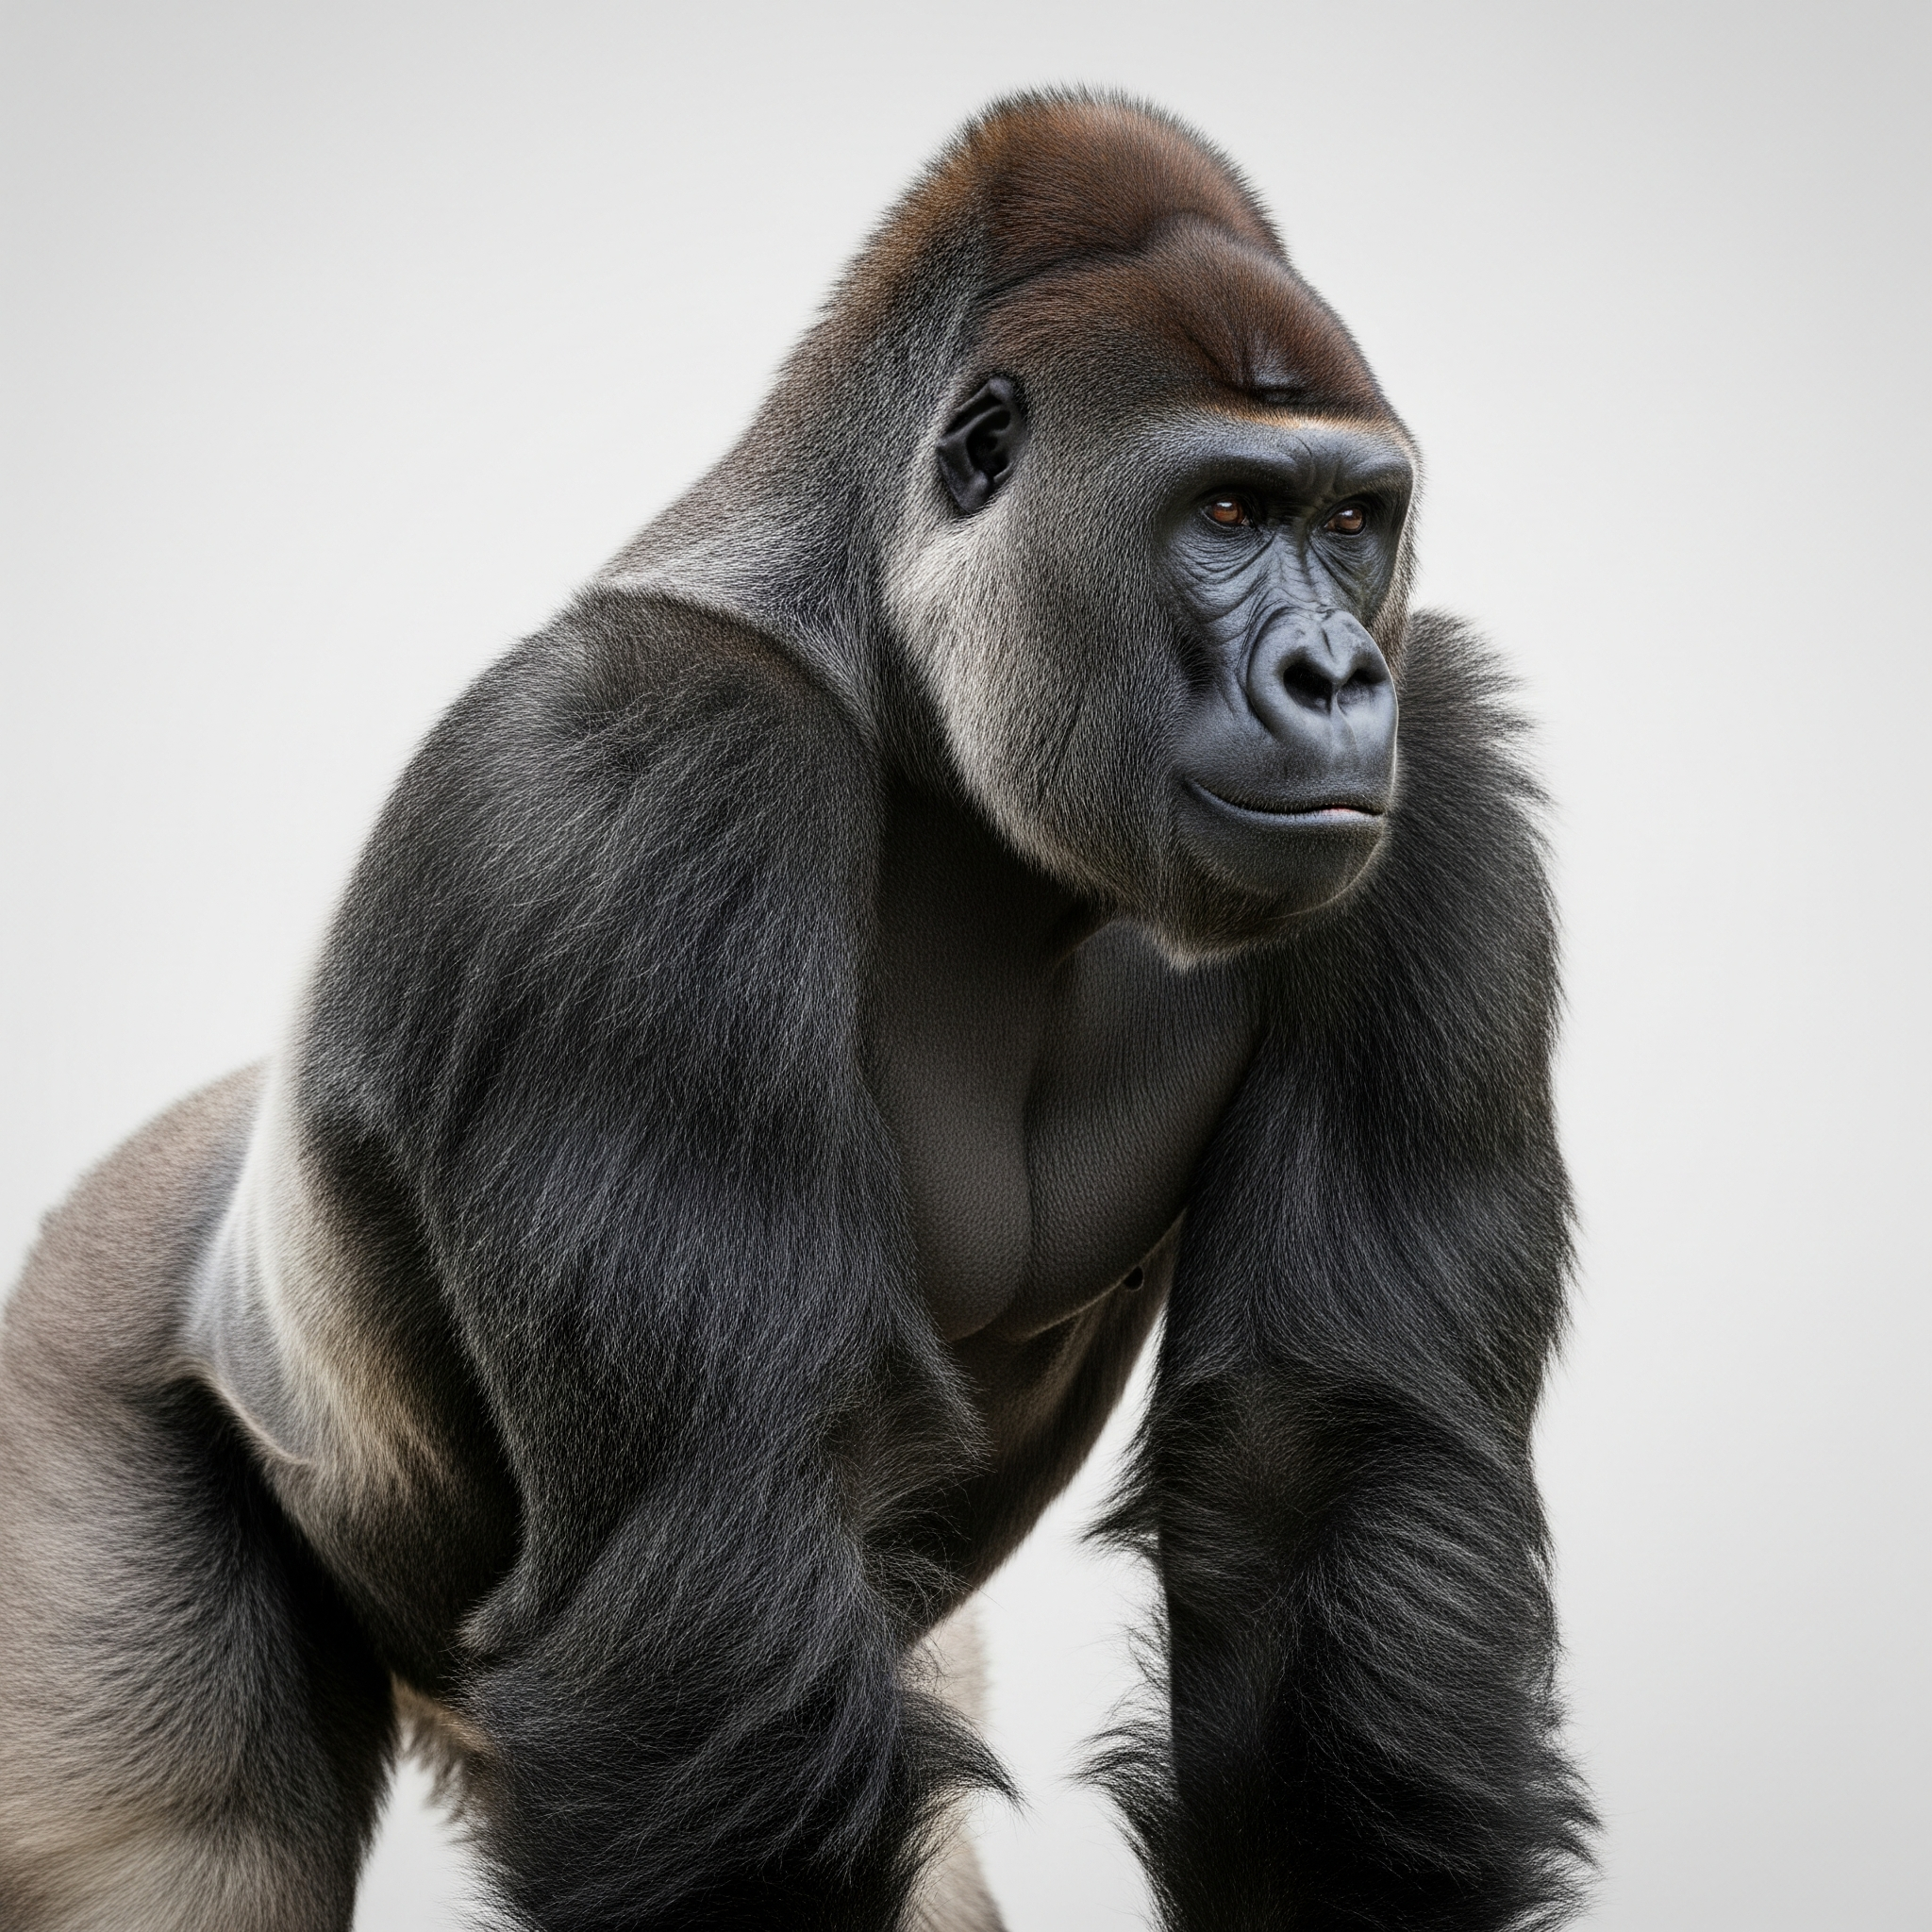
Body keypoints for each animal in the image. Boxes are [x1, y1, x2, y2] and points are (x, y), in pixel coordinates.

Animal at [0, 91, 1594, 1932]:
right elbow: (724, 1567)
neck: (897, 665)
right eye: (1223, 512)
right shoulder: (647, 770)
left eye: (1350, 523)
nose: (1337, 676)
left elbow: (1316, 1477)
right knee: (180, 1837)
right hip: (81, 1351)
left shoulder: (1442, 770)